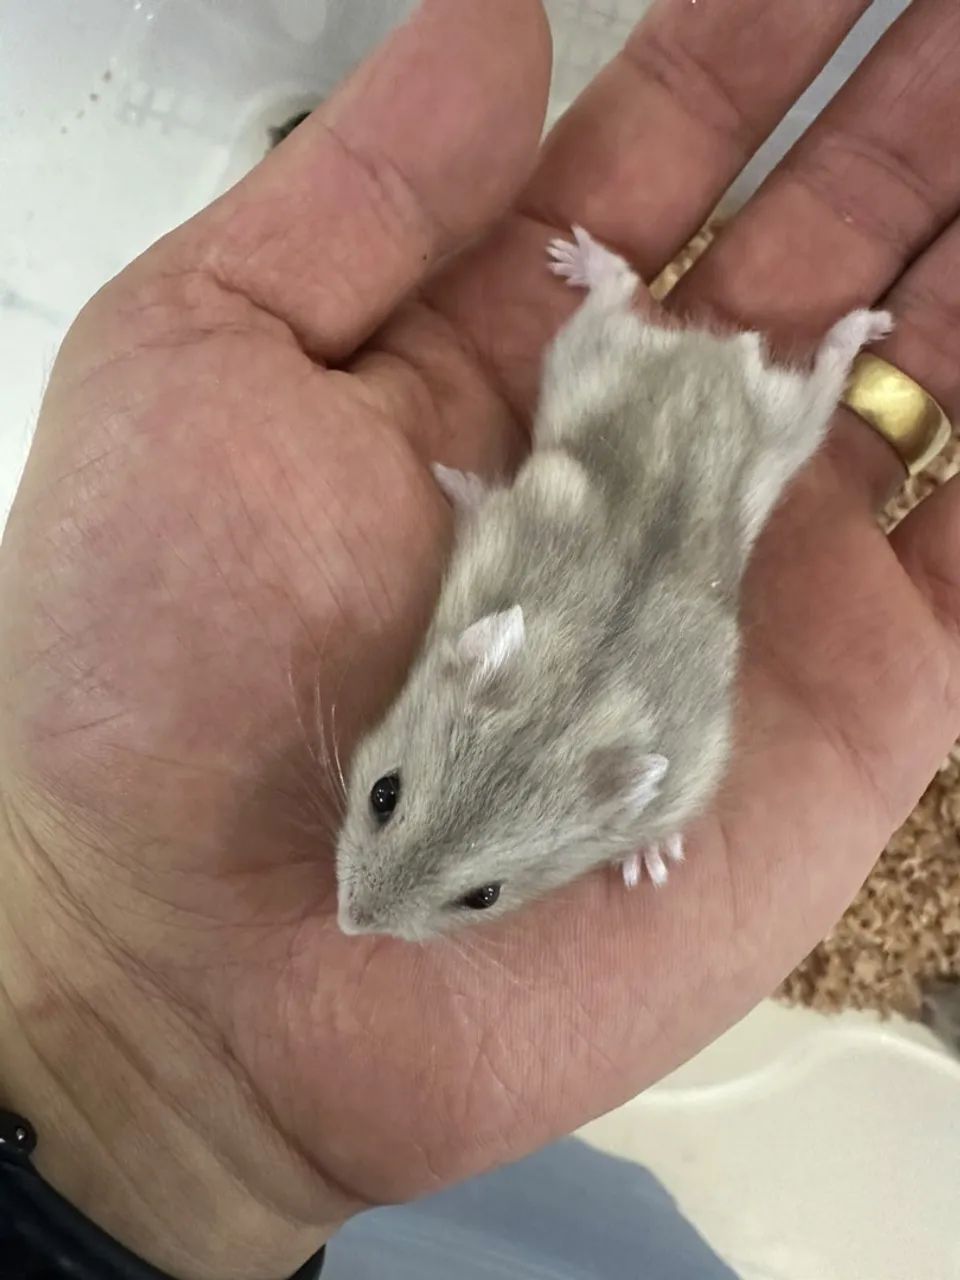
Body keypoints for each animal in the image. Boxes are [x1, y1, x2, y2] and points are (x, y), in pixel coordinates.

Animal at [334, 224, 892, 941]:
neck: (569, 708)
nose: (348, 924)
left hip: (785, 427)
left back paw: (863, 329)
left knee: (821, 368)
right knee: (620, 293)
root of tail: (715, 355)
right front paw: (452, 482)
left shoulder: (694, 765)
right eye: (384, 794)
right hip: (592, 359)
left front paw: (647, 865)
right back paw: (577, 262)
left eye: (485, 896)